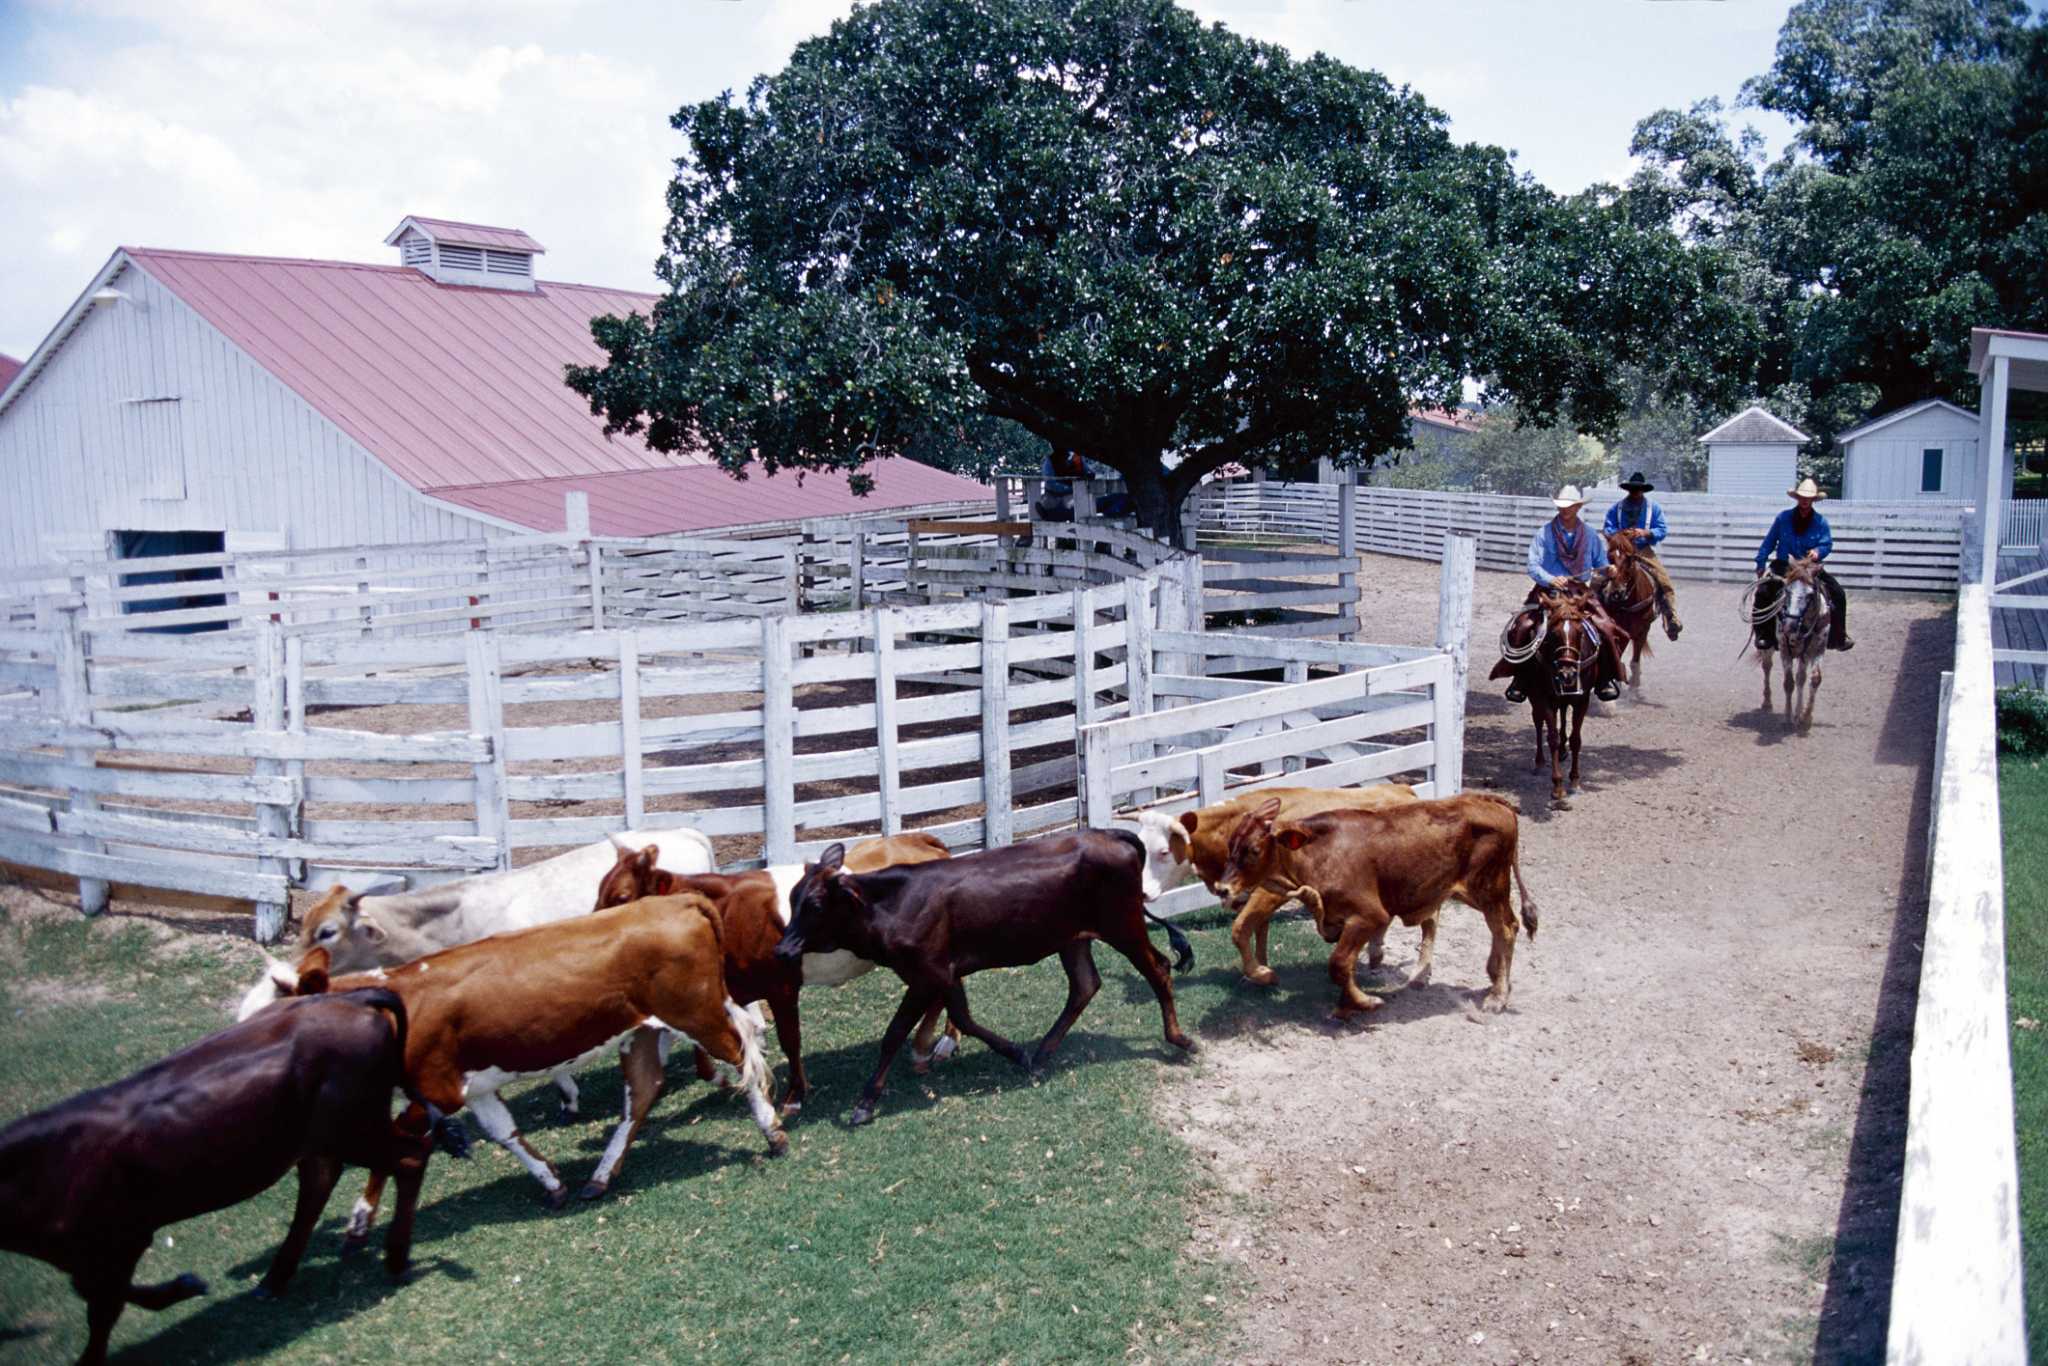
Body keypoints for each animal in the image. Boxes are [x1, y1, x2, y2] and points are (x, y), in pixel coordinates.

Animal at [272, 888, 782, 1220]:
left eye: (327, 930)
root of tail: (679, 900)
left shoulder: (437, 1086)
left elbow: (398, 1136)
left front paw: (360, 1216)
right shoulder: (472, 1088)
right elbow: (505, 1133)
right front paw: (552, 1182)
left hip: (697, 1014)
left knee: (741, 1055)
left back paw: (773, 1131)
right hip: (641, 1031)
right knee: (641, 1094)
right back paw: (600, 1176)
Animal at [589, 827, 954, 1114]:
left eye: (621, 896)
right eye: (600, 889)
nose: (590, 929)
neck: (728, 911)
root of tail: (920, 839)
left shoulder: (781, 987)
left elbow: (790, 1040)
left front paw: (795, 1095)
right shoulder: (728, 987)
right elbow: (703, 1044)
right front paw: (725, 1077)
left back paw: (941, 1044)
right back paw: (925, 1048)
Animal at [770, 827, 1196, 1130]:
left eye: (816, 904)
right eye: (792, 899)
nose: (782, 951)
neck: (892, 905)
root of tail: (1109, 833)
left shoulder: (927, 974)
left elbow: (896, 1033)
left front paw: (865, 1102)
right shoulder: (942, 973)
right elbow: (962, 1017)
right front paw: (1017, 1052)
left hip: (1123, 926)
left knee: (1158, 968)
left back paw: (1178, 1038)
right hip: (1073, 938)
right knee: (1085, 985)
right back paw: (1042, 1053)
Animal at [1130, 786, 1417, 987]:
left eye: (1164, 851)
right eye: (1141, 847)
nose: (1141, 892)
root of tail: (1403, 789)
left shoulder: (1268, 890)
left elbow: (1240, 929)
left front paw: (1261, 973)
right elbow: (1258, 929)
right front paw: (1259, 967)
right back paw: (1376, 953)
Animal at [1212, 794, 1540, 1019]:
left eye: (1254, 850)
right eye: (1230, 846)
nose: (1222, 888)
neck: (1320, 852)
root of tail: (1488, 800)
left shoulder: (1370, 916)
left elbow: (1338, 963)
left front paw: (1364, 1002)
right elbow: (1345, 963)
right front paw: (1345, 1008)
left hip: (1489, 888)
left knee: (1506, 928)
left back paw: (1498, 994)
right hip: (1474, 893)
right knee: (1500, 927)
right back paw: (1492, 977)